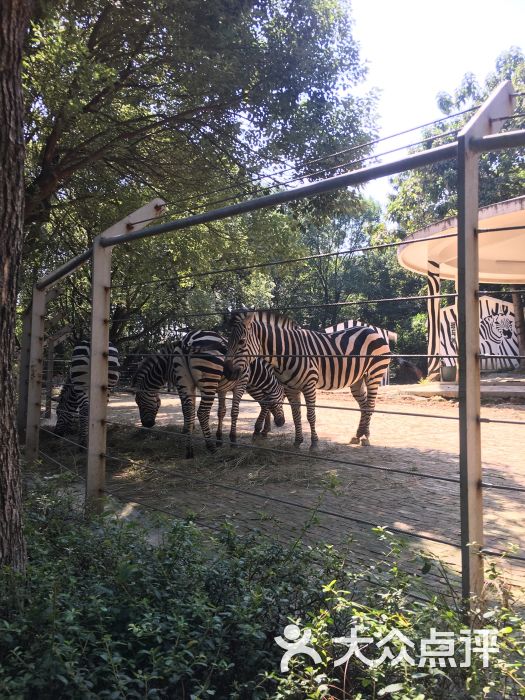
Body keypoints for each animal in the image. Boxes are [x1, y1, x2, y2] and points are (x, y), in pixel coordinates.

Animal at [133, 332, 284, 460]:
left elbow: (222, 412)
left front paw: (219, 438)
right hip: (208, 380)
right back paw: (211, 446)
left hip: (191, 381)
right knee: (202, 412)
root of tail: (187, 341)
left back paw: (191, 449)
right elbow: (234, 412)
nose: (146, 424)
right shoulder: (240, 384)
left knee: (191, 411)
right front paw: (231, 440)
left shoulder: (223, 388)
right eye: (138, 402)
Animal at [223, 310, 390, 448]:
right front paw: (298, 441)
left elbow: (311, 415)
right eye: (228, 341)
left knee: (370, 405)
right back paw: (358, 435)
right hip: (357, 379)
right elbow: (296, 415)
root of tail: (372, 330)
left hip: (374, 374)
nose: (226, 372)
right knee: (363, 405)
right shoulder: (290, 388)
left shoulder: (309, 384)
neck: (287, 353)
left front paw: (314, 443)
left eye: (241, 342)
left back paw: (366, 437)